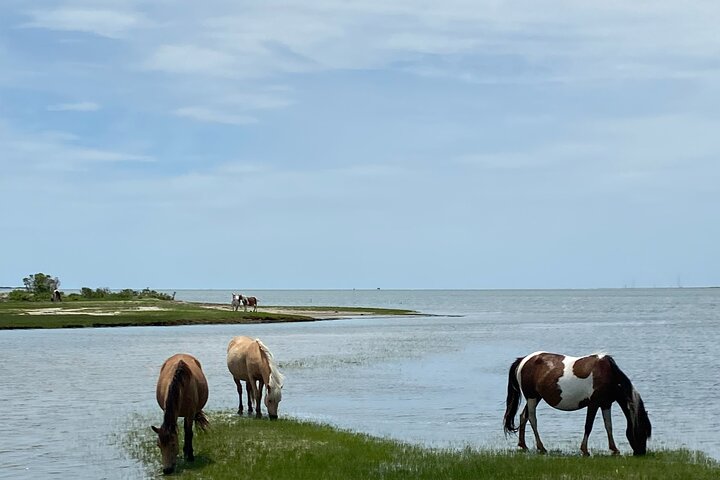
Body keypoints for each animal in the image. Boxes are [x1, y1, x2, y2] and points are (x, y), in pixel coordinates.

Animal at [503, 351, 651, 456]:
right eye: (643, 431)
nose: (641, 452)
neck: (608, 373)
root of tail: (523, 360)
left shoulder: (605, 404)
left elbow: (608, 426)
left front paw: (614, 449)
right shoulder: (593, 404)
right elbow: (588, 426)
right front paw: (585, 450)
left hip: (536, 397)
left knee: (523, 416)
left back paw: (523, 445)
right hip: (532, 397)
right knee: (533, 419)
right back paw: (541, 447)